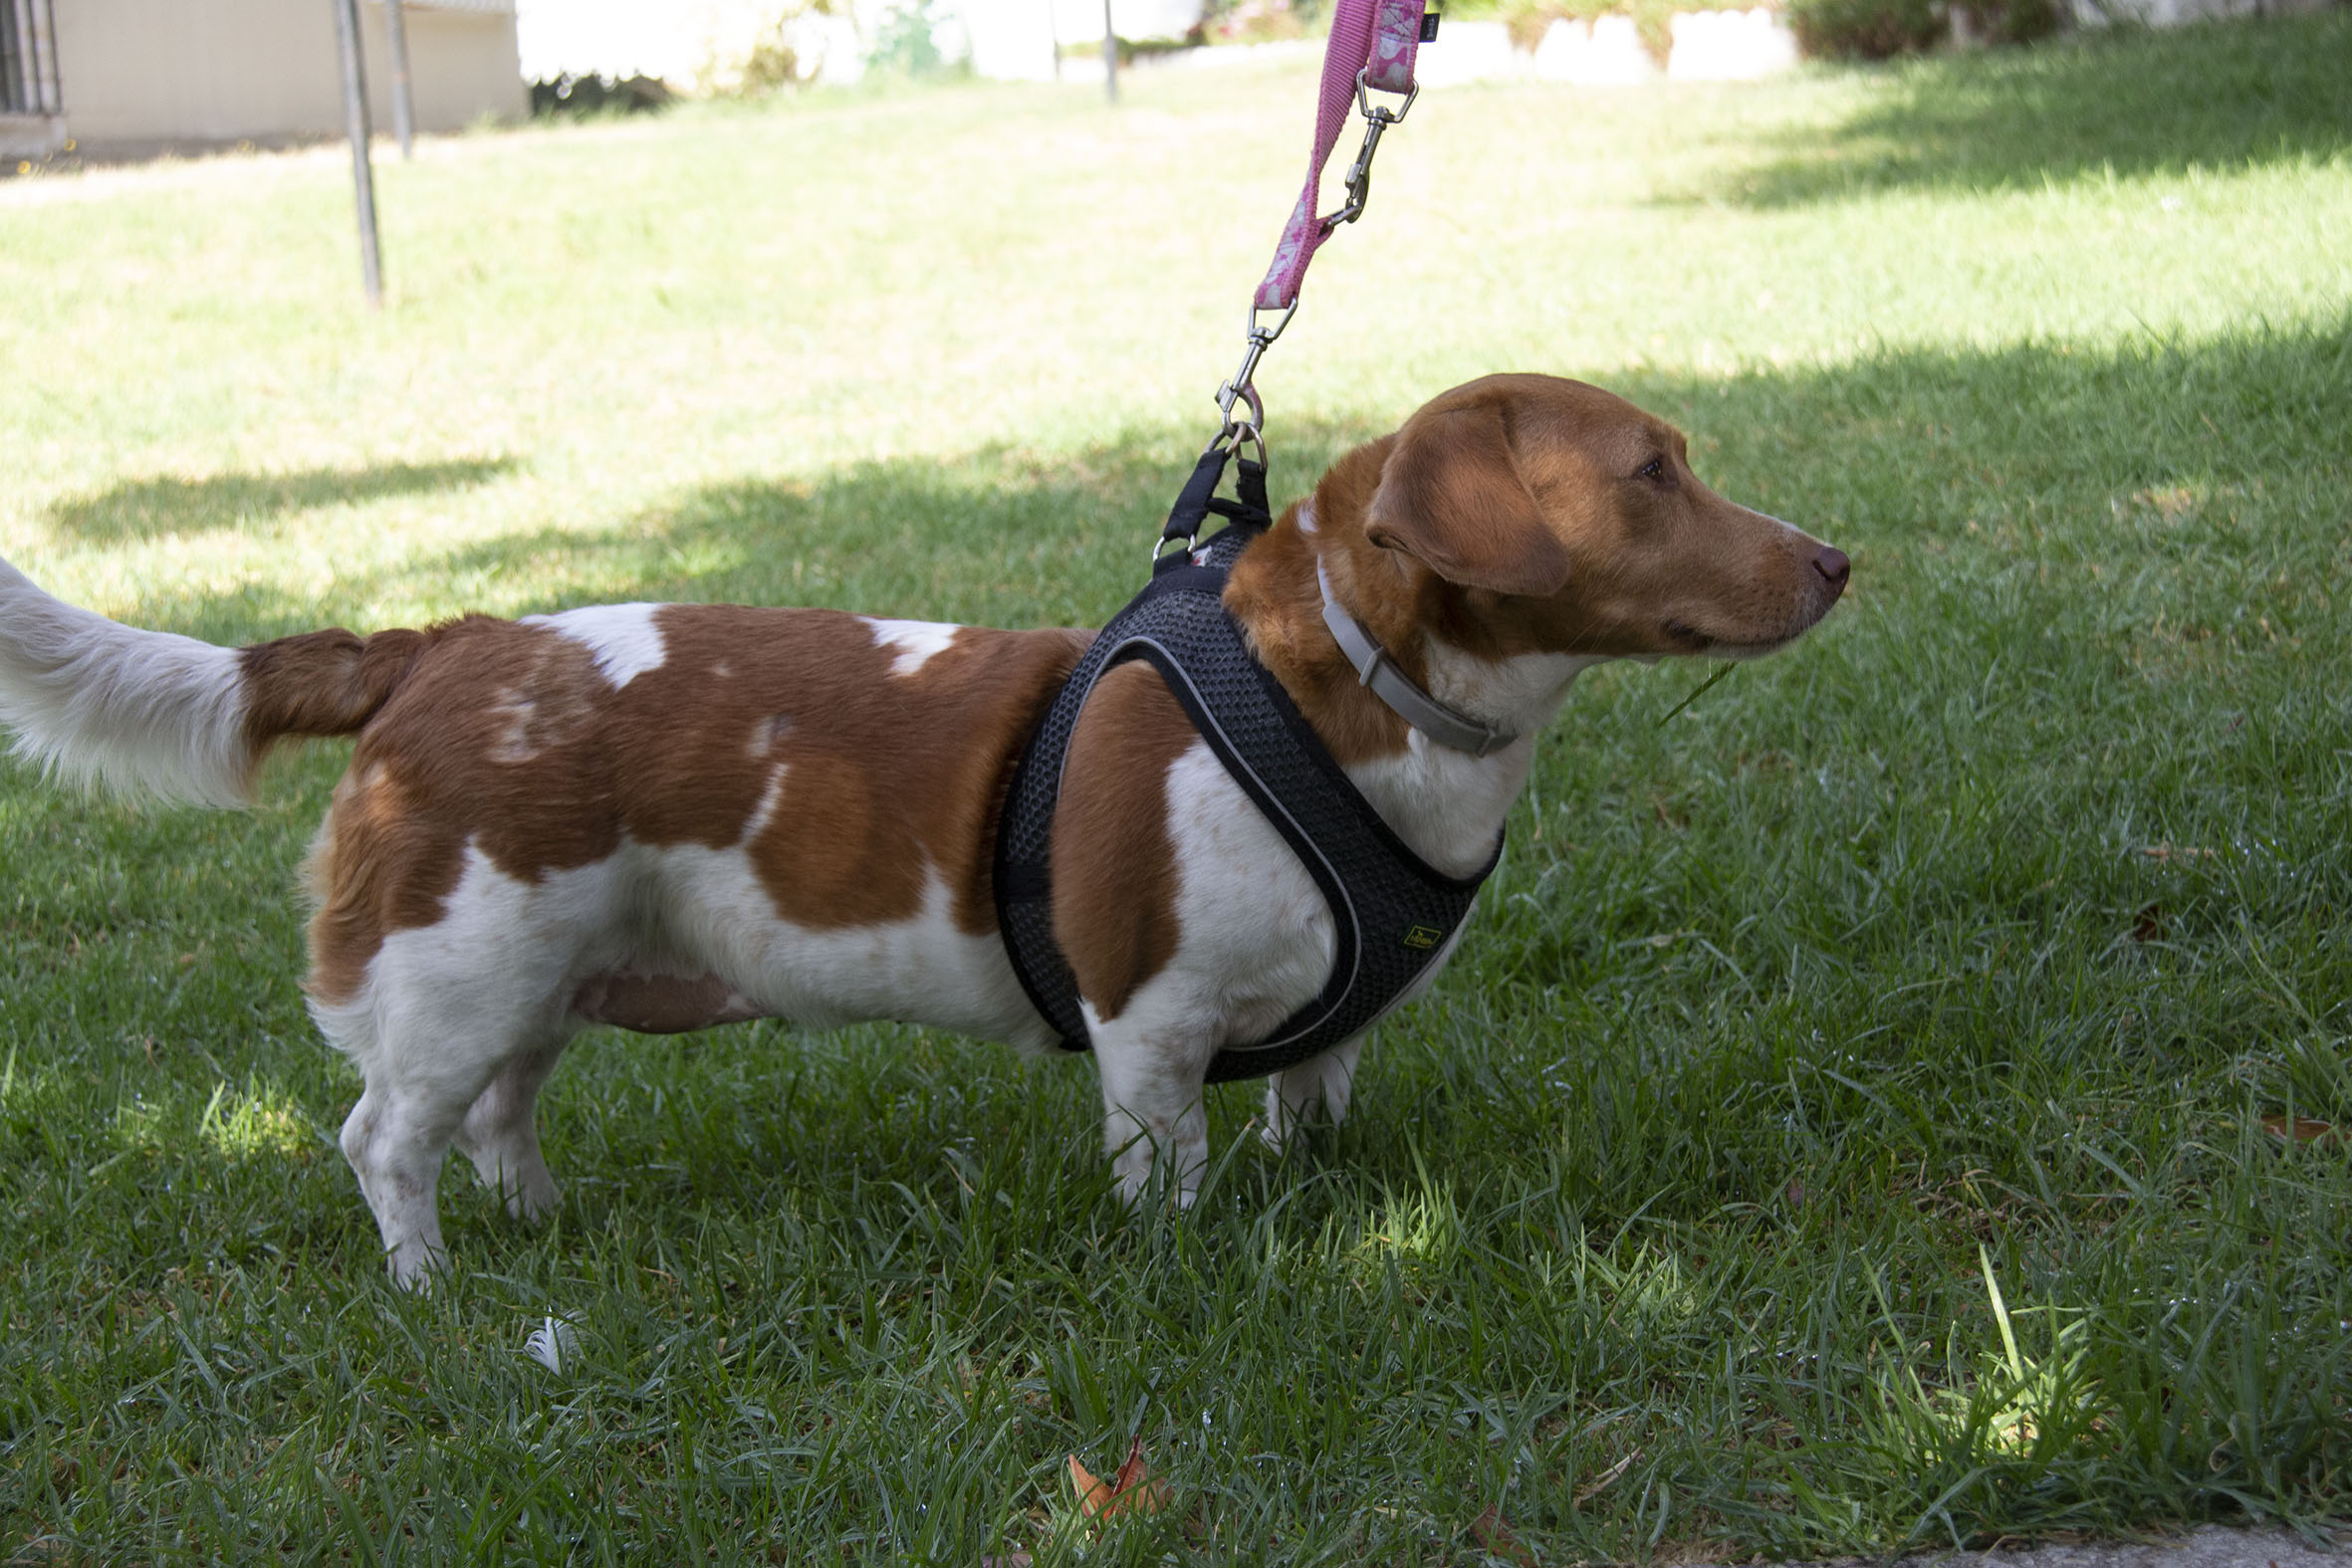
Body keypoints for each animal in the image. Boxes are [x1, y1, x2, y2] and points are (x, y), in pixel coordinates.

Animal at [0, 374, 1848, 1285]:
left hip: (530, 982)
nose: (1837, 558)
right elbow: (1166, 1171)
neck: (1357, 692)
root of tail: (437, 647)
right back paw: (432, 1289)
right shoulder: (1149, 1023)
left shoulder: (1325, 1027)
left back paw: (533, 1231)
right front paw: (1190, 1270)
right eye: (1651, 473)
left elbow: (1310, 1104)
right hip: (457, 977)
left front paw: (1326, 1208)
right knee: (386, 1139)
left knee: (499, 1118)